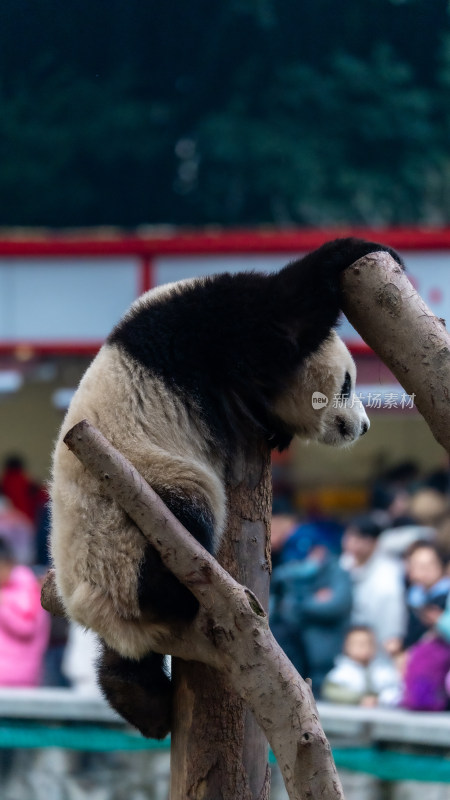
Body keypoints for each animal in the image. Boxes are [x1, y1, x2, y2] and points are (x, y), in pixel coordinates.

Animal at [51, 236, 402, 736]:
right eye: (348, 384)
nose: (364, 426)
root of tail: (90, 605)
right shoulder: (208, 328)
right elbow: (282, 312)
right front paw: (360, 250)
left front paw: (278, 433)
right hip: (133, 505)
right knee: (182, 527)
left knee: (126, 661)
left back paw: (140, 700)